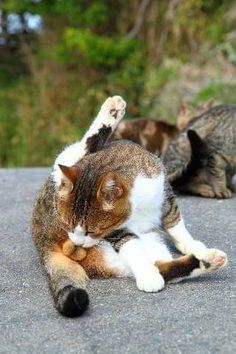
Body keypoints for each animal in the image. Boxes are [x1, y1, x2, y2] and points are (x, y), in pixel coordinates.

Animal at [31, 94, 227, 318]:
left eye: (91, 230)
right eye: (68, 225)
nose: (78, 242)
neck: (137, 207)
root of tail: (43, 242)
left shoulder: (164, 193)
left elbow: (176, 224)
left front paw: (191, 244)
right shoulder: (115, 231)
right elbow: (132, 248)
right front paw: (148, 276)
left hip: (144, 243)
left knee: (162, 264)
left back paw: (207, 260)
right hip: (65, 171)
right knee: (81, 146)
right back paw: (112, 110)